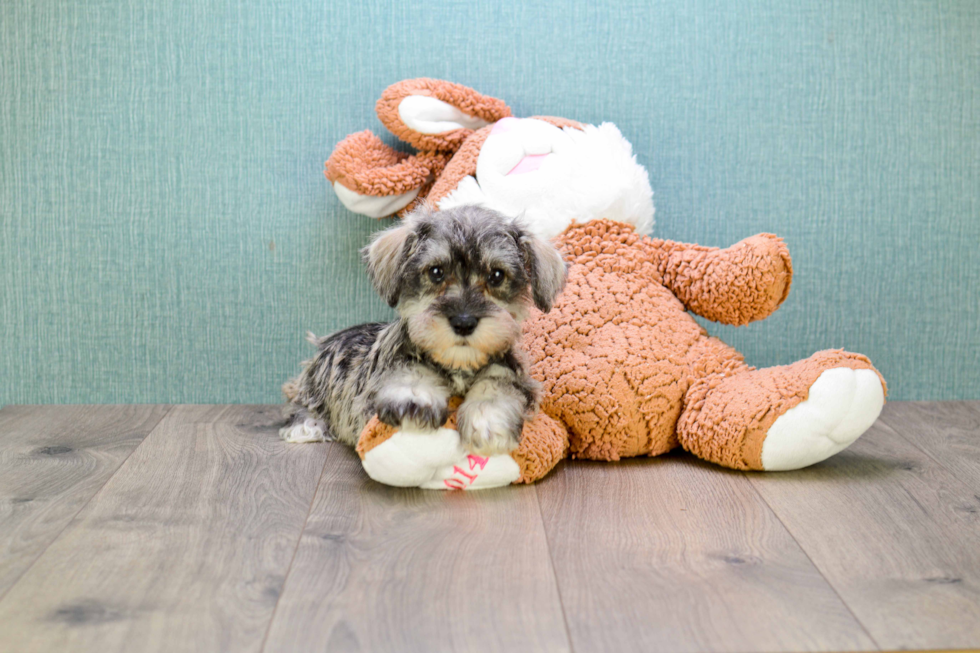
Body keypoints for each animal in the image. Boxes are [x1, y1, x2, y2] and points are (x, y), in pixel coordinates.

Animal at [280, 204, 568, 454]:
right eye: (436, 272)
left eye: (496, 275)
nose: (464, 322)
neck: (458, 364)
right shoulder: (387, 371)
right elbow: (412, 371)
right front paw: (414, 399)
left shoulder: (515, 376)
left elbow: (498, 385)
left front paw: (487, 419)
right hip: (311, 388)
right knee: (298, 404)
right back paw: (305, 427)